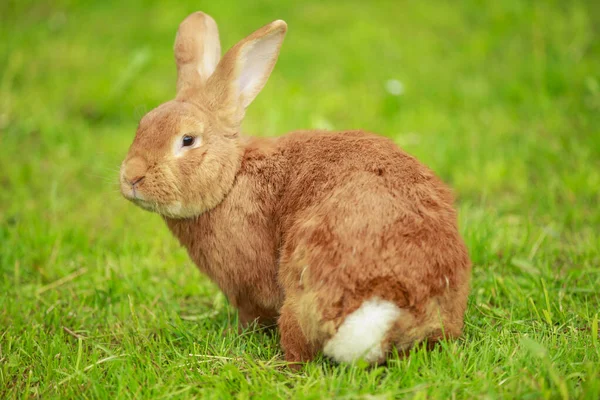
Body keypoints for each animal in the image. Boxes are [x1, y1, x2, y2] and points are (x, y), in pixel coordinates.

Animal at [119, 10, 472, 368]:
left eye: (188, 140)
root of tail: (385, 308)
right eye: (142, 125)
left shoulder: (246, 287)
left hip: (299, 289)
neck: (231, 179)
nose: (131, 178)